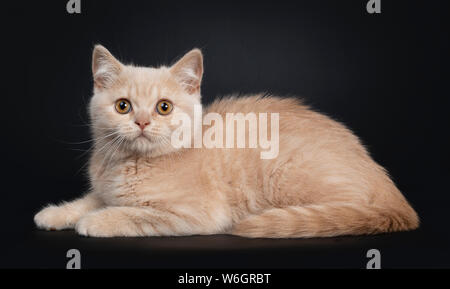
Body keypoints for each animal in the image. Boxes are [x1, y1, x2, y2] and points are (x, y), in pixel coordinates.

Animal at [33, 45, 420, 236]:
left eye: (163, 107)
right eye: (122, 106)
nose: (142, 122)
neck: (130, 164)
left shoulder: (196, 214)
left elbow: (130, 213)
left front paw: (96, 221)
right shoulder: (102, 189)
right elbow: (90, 199)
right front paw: (56, 213)